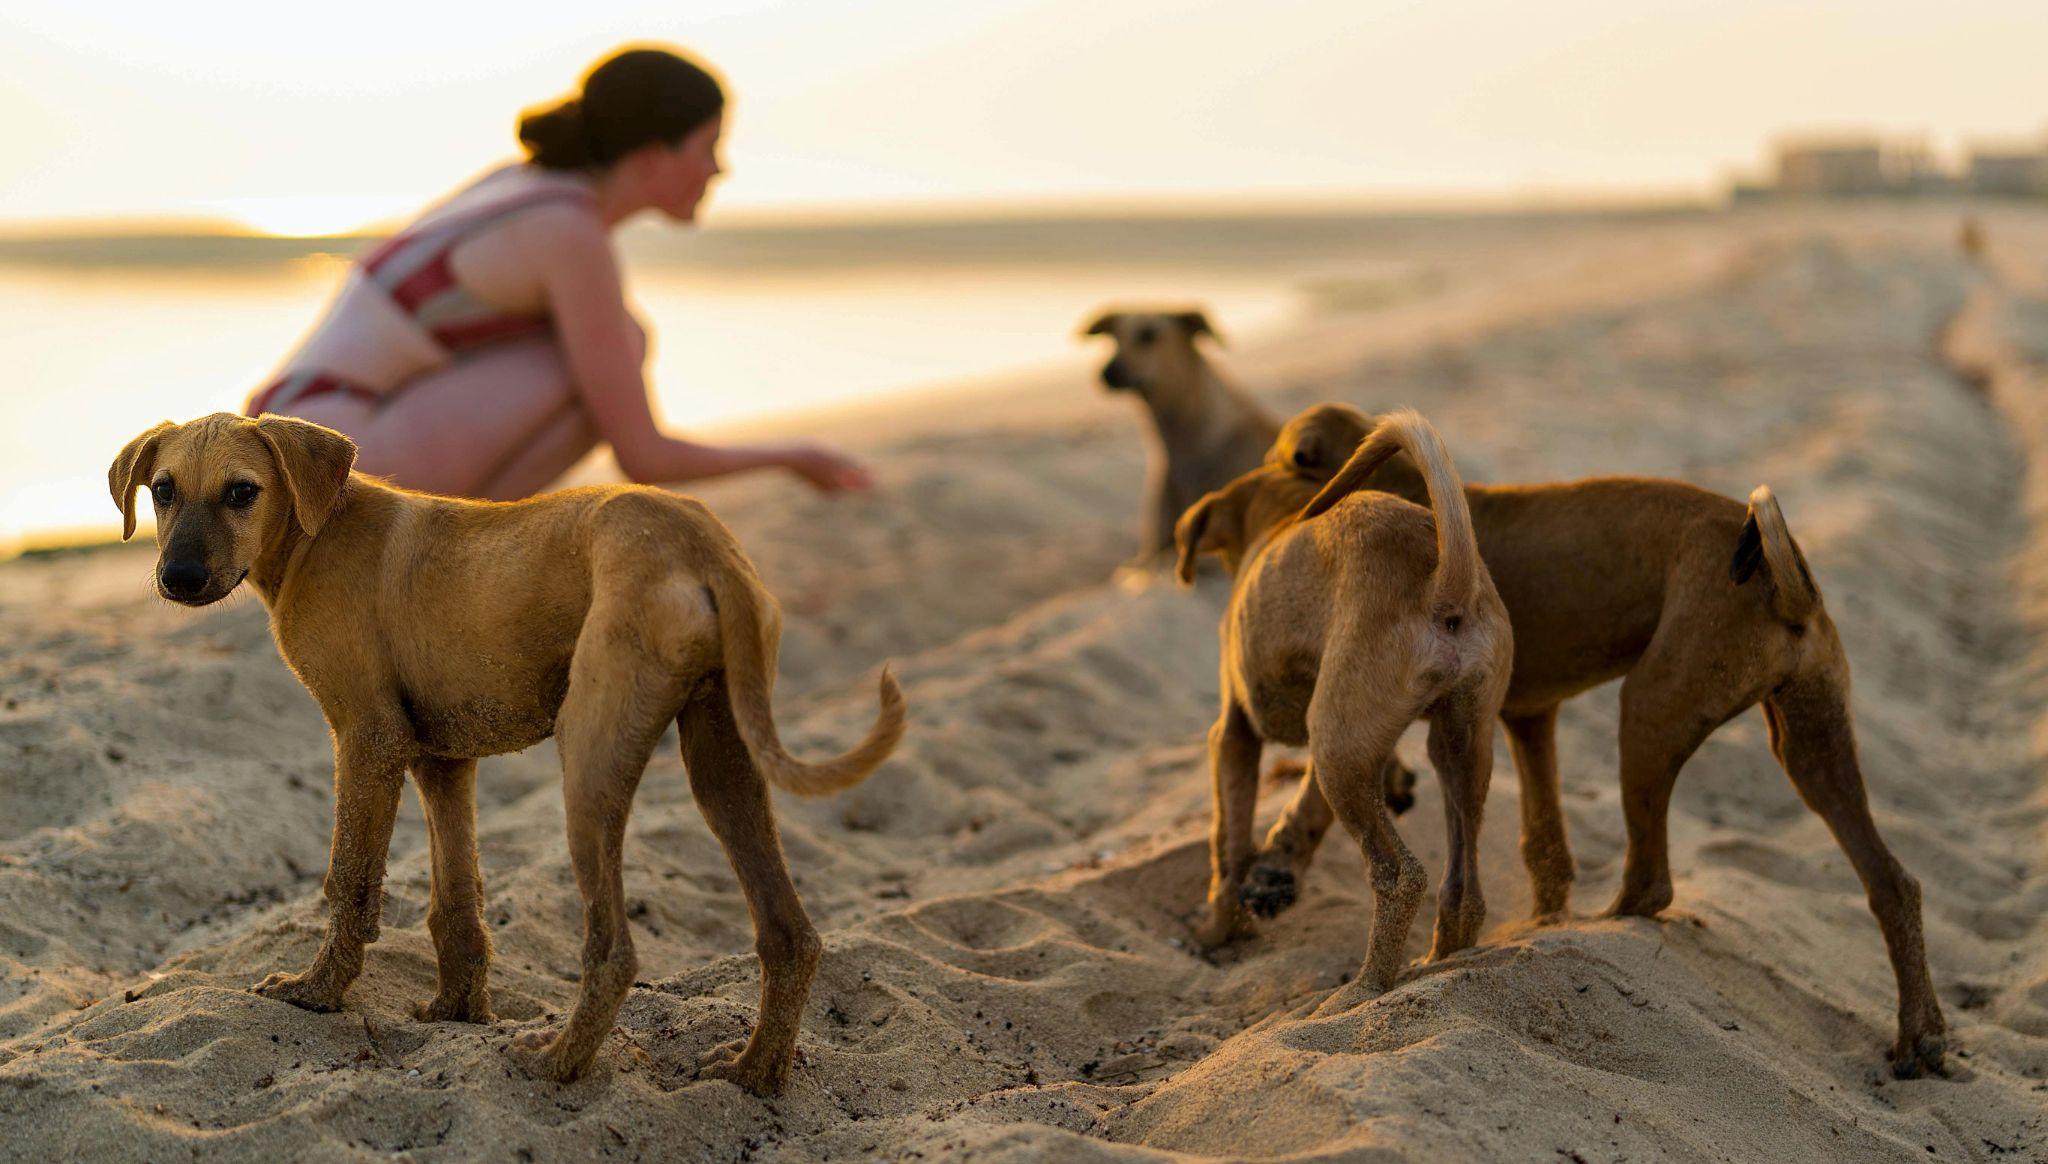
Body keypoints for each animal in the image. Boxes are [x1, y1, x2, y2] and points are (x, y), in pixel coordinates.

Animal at [110, 413, 905, 1098]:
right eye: (162, 491)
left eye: (243, 491)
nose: (178, 579)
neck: (316, 529)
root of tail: (698, 541)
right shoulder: (439, 761)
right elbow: (457, 906)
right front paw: (458, 1012)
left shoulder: (366, 740)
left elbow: (350, 883)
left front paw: (317, 993)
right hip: (723, 763)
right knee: (789, 935)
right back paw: (755, 1074)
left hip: (589, 764)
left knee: (614, 951)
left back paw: (558, 1064)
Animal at [1179, 403, 1515, 1004]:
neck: (1278, 516)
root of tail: (1443, 580)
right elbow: (1301, 812)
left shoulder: (1233, 733)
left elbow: (1227, 843)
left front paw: (1219, 929)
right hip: (1457, 744)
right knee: (1464, 887)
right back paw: (1439, 958)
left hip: (1337, 746)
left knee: (1400, 875)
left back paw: (1364, 987)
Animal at [1253, 403, 1941, 1073]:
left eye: (1284, 460)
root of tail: (1782, 578)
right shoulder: (1528, 719)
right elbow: (1544, 850)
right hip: (1813, 747)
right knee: (1894, 884)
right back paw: (1921, 1037)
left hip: (1647, 716)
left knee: (1652, 881)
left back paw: (1600, 929)